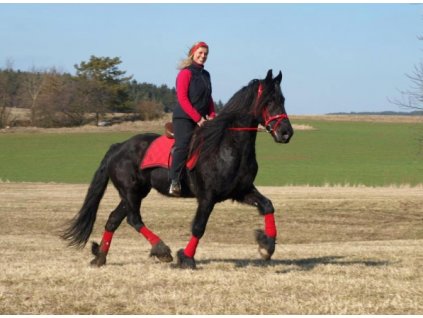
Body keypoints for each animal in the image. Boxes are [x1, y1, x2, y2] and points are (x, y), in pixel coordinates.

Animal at [61, 69, 294, 268]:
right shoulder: (207, 197)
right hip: (131, 191)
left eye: (283, 100)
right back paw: (161, 250)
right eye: (269, 101)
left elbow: (268, 206)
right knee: (133, 219)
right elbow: (199, 227)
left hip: (134, 193)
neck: (227, 145)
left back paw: (100, 257)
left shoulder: (241, 191)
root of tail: (118, 147)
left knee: (113, 220)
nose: (286, 133)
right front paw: (187, 258)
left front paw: (266, 246)